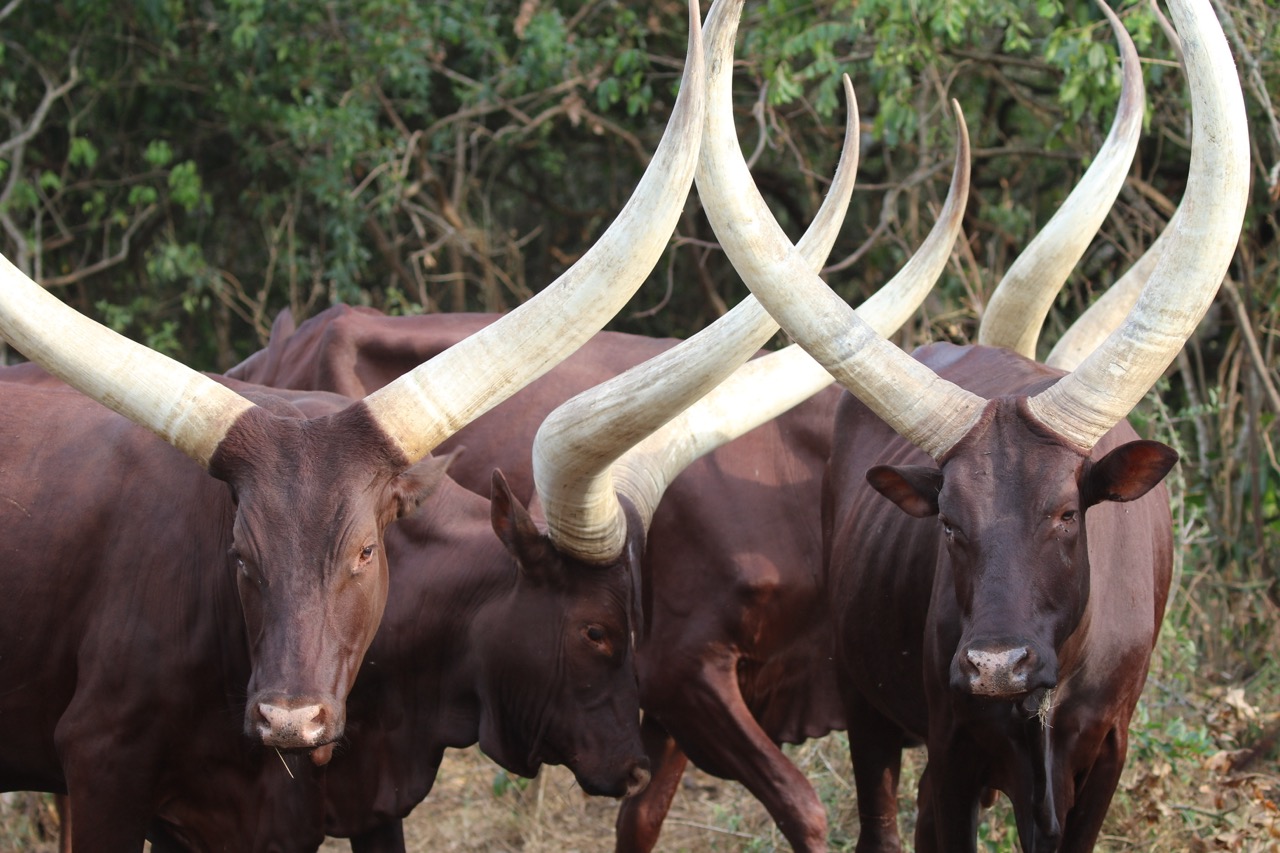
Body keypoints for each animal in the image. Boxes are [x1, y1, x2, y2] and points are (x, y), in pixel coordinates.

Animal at [696, 0, 1248, 849]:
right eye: (950, 523)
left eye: (1066, 514)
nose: (995, 665)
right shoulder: (950, 759)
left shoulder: (1103, 758)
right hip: (865, 703)